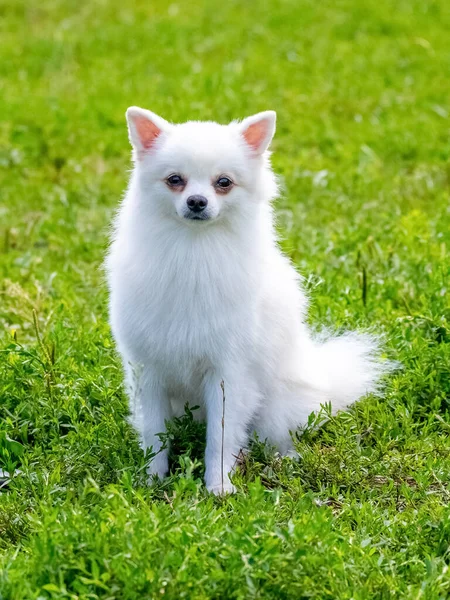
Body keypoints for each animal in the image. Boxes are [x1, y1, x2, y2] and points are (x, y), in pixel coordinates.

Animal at [106, 106, 390, 492]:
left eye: (223, 182)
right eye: (175, 180)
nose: (197, 201)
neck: (194, 250)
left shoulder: (229, 373)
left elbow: (220, 437)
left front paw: (218, 487)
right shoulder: (149, 371)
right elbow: (154, 434)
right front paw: (152, 480)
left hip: (273, 407)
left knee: (276, 435)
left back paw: (283, 459)